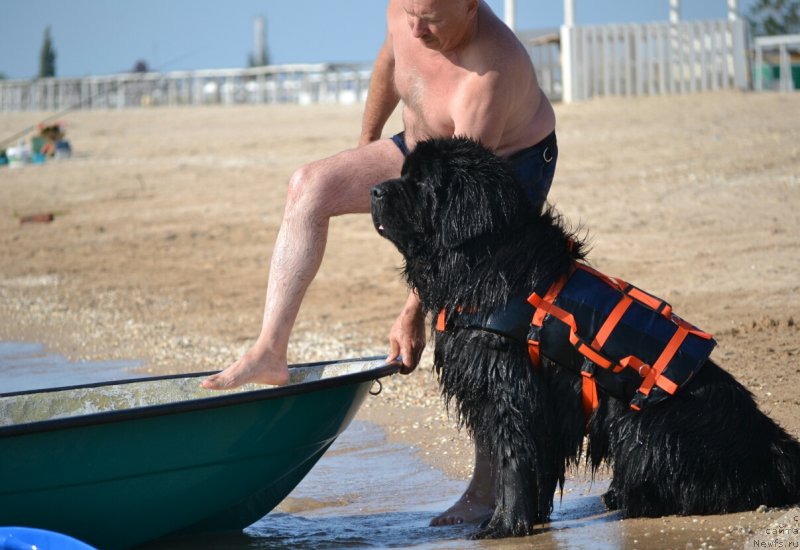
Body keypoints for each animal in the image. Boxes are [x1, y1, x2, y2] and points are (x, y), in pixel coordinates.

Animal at [372, 137, 800, 540]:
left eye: (419, 182)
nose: (375, 190)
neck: (480, 260)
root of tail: (775, 448)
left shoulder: (509, 384)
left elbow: (511, 456)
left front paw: (502, 525)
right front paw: (530, 517)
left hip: (645, 423)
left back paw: (631, 498)